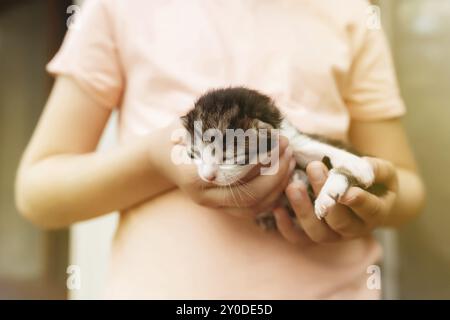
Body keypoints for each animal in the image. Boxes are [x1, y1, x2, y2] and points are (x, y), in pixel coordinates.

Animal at [179, 86, 384, 229]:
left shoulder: (292, 139)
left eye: (230, 156)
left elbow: (318, 148)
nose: (208, 177)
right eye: (195, 154)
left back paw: (327, 194)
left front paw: (359, 166)